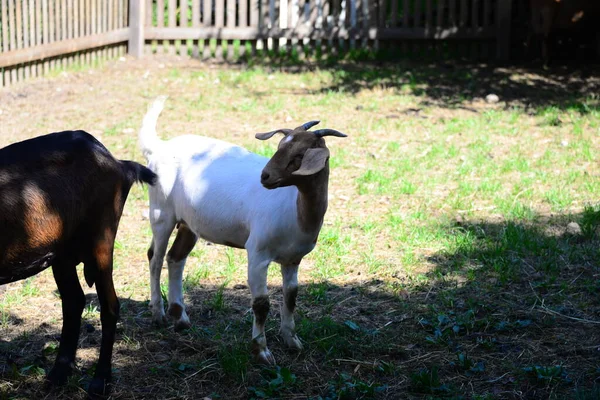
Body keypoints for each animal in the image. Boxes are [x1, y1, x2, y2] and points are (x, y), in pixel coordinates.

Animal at [0, 130, 155, 396]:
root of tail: (117, 163)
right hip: (62, 253)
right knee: (74, 301)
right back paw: (59, 373)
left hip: (102, 240)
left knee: (109, 305)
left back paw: (100, 381)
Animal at [139, 96, 346, 362]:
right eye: (279, 146)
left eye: (299, 154)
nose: (265, 176)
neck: (296, 209)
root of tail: (159, 148)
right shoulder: (257, 252)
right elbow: (261, 304)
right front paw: (262, 351)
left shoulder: (293, 258)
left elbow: (291, 297)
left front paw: (292, 341)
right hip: (161, 211)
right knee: (155, 258)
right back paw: (158, 314)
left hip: (189, 222)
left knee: (175, 257)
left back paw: (181, 318)